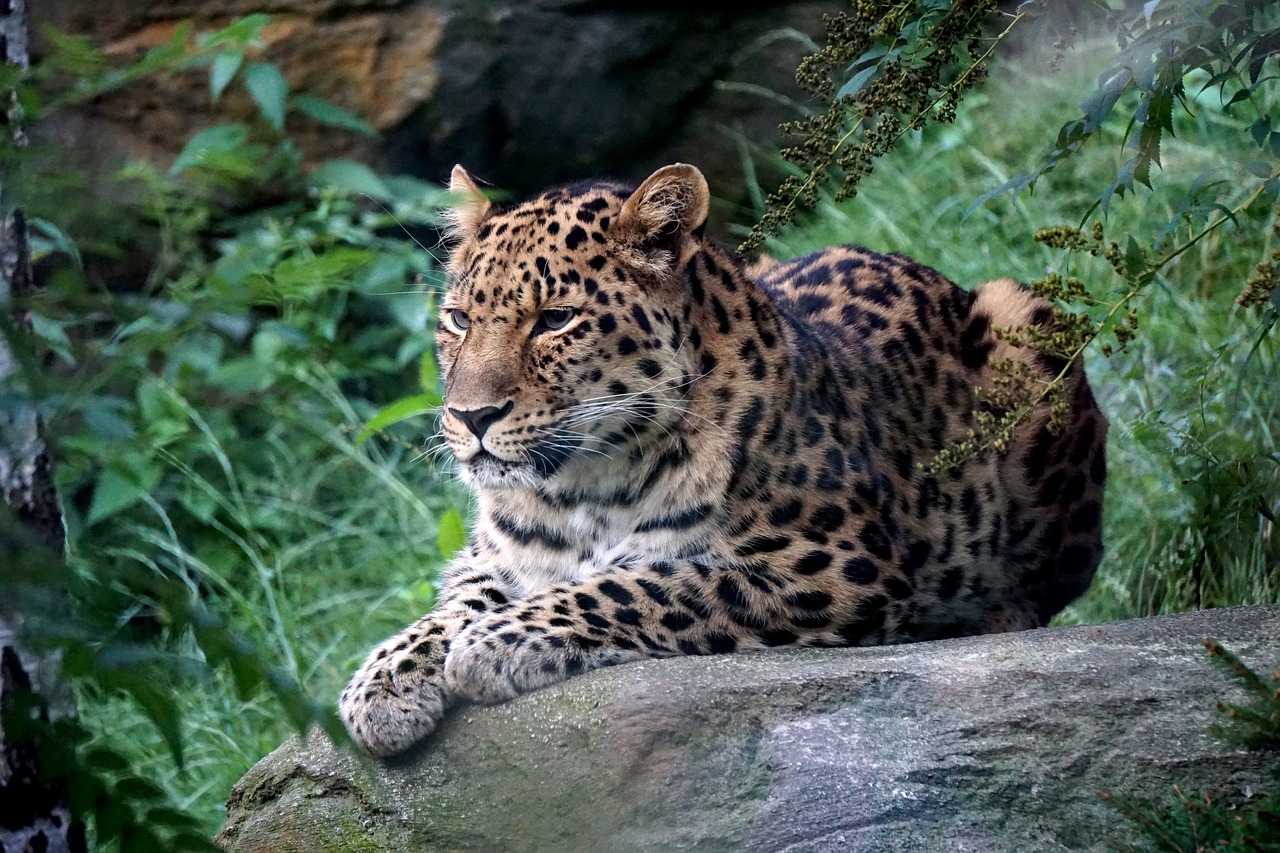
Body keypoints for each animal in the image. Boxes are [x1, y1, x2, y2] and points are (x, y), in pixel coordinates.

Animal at [340, 162, 1111, 753]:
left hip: (1024, 322)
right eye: (458, 319)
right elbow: (448, 608)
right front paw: (381, 682)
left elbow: (650, 584)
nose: (469, 417)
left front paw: (498, 642)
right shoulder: (493, 557)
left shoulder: (839, 566)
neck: (583, 485)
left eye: (555, 320)